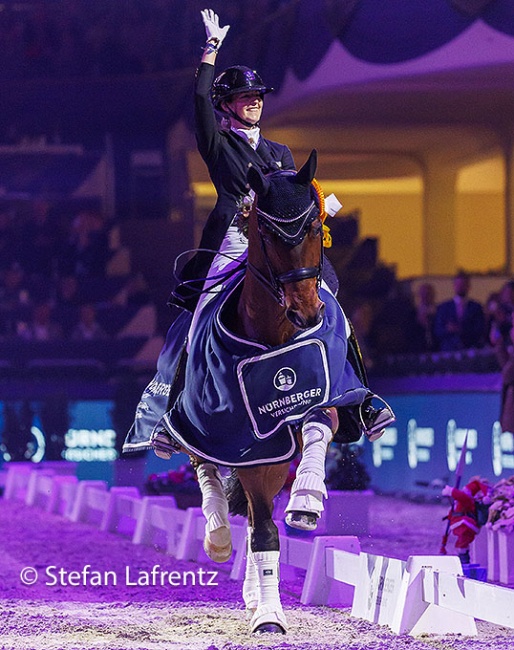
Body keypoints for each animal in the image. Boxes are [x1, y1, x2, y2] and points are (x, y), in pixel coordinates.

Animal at [123, 148, 364, 632]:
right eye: (268, 233)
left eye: (314, 228)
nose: (306, 313)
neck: (275, 336)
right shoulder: (244, 441)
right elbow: (263, 530)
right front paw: (270, 616)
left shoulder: (322, 399)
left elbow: (317, 425)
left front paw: (307, 499)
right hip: (200, 427)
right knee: (209, 476)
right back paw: (217, 537)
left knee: (252, 515)